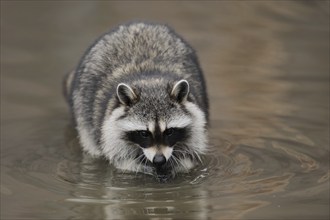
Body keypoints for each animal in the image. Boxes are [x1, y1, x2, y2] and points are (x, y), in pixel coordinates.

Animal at [64, 21, 209, 178]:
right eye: (144, 133)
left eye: (169, 131)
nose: (159, 160)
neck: (150, 81)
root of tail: (138, 24)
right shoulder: (110, 128)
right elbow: (122, 160)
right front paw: (144, 167)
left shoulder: (196, 121)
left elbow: (189, 154)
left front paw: (176, 164)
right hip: (83, 106)